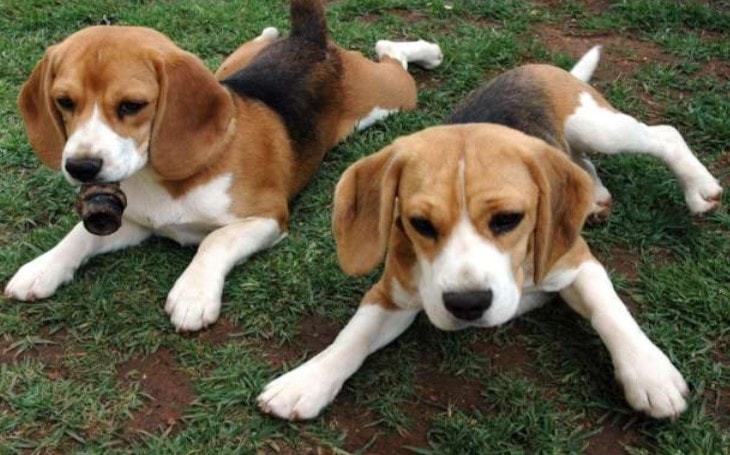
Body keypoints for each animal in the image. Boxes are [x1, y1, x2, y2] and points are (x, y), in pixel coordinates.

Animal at [4, 0, 444, 332]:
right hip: (230, 68)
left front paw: (193, 293)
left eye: (132, 106)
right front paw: (43, 267)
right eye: (64, 102)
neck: (160, 177)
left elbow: (215, 239)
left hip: (389, 97)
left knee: (392, 56)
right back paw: (269, 32)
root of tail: (309, 39)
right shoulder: (135, 224)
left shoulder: (268, 218)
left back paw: (424, 50)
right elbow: (80, 235)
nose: (81, 167)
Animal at [258, 45, 720, 420]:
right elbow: (353, 336)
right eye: (419, 224)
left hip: (597, 127)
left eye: (508, 219)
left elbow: (610, 311)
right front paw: (307, 381)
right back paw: (596, 196)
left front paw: (649, 373)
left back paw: (699, 188)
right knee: (580, 164)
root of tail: (539, 67)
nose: (468, 304)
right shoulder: (392, 293)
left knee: (662, 135)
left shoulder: (576, 261)